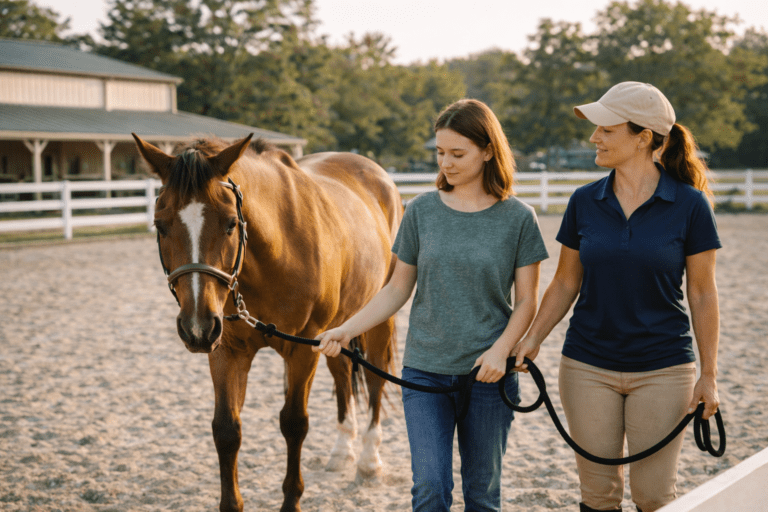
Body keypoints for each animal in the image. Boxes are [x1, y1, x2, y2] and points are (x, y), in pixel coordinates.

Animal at [131, 133, 402, 512]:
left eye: (231, 223)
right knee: (342, 375)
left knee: (376, 378)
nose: (197, 326)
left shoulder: (304, 348)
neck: (276, 251)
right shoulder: (226, 349)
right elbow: (226, 429)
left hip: (379, 317)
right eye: (160, 224)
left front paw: (291, 500)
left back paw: (368, 462)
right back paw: (341, 452)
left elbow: (294, 423)